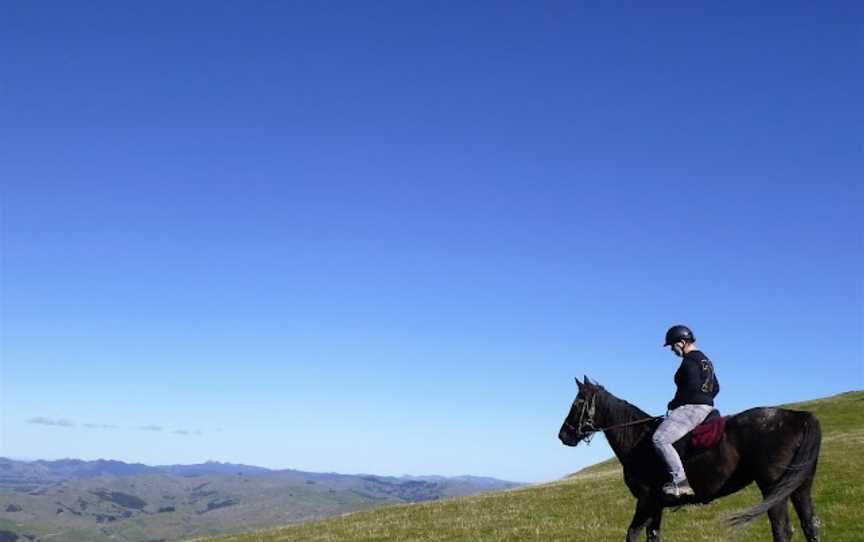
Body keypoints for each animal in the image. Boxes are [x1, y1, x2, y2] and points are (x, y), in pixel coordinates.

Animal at [556, 378, 820, 542]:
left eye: (578, 403)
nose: (563, 435)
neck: (638, 439)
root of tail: (798, 417)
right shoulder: (656, 506)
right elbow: (653, 536)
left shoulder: (646, 501)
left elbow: (632, 534)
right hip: (800, 487)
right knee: (810, 525)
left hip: (773, 490)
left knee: (782, 530)